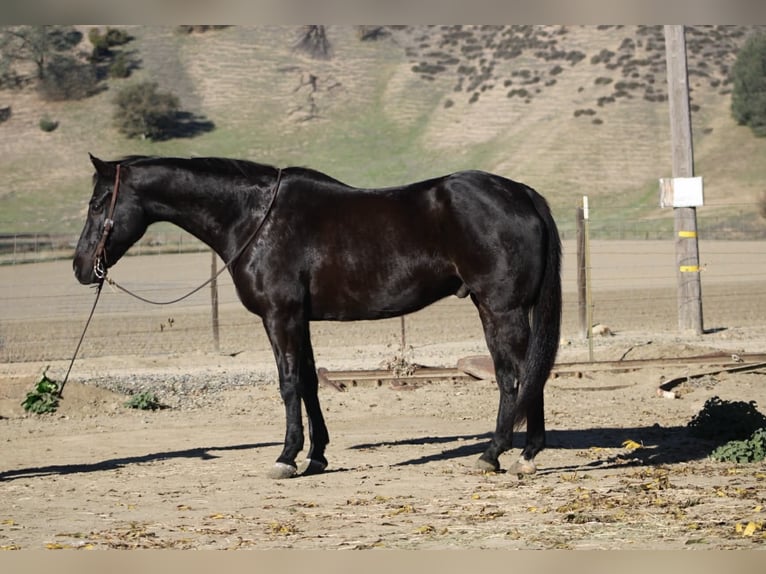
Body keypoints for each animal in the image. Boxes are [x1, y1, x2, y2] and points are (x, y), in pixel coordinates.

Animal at [73, 154, 562, 479]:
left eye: (98, 203)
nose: (80, 267)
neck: (255, 218)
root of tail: (521, 194)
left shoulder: (280, 316)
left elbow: (289, 384)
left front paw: (285, 458)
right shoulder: (299, 320)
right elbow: (308, 382)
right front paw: (316, 456)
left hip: (500, 310)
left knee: (516, 376)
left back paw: (499, 454)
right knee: (527, 374)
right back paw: (525, 454)